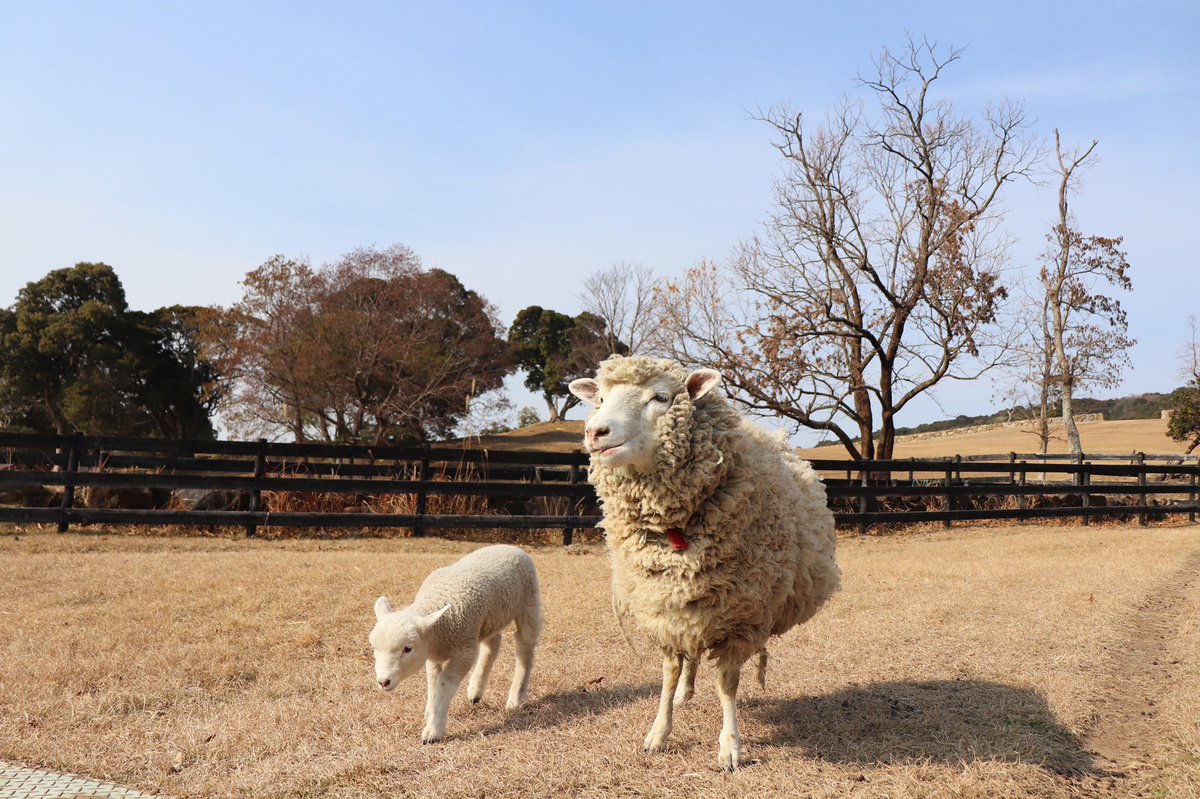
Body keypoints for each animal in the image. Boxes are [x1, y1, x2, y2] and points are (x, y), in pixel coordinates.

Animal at [369, 544, 543, 743]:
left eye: (407, 648)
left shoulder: (464, 651)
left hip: (528, 604)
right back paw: (475, 691)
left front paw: (434, 730)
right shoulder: (434, 654)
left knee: (525, 648)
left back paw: (515, 697)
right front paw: (431, 710)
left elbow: (444, 682)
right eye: (374, 648)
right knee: (492, 645)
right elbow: (433, 680)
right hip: (489, 619)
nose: (383, 682)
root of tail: (511, 546)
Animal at [569, 355, 841, 770]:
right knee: (689, 656)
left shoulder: (740, 619)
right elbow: (668, 674)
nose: (595, 431)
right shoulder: (663, 609)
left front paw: (729, 747)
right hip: (689, 607)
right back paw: (685, 690)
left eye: (660, 397)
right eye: (599, 397)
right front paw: (658, 732)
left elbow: (727, 685)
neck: (674, 531)